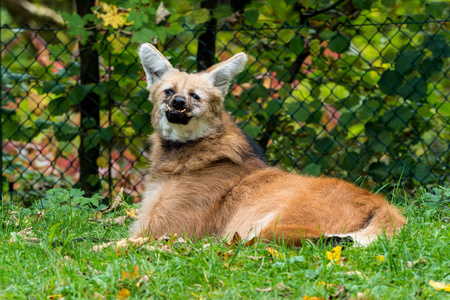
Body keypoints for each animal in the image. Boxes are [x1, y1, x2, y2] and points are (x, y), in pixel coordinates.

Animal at [129, 44, 404, 246]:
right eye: (168, 91)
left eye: (195, 96)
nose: (177, 103)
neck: (184, 155)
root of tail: (382, 204)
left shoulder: (165, 229)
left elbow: (121, 244)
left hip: (271, 226)